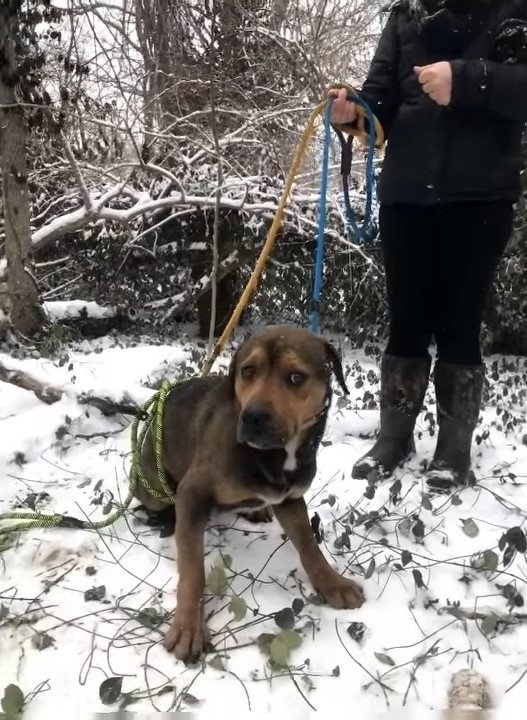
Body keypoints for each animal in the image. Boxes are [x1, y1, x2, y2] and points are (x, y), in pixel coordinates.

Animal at [138, 326, 366, 664]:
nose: (253, 417)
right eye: (247, 371)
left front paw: (332, 583)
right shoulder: (192, 492)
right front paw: (188, 627)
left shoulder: (290, 498)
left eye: (296, 377)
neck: (275, 456)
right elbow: (192, 570)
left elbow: (309, 547)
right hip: (153, 486)